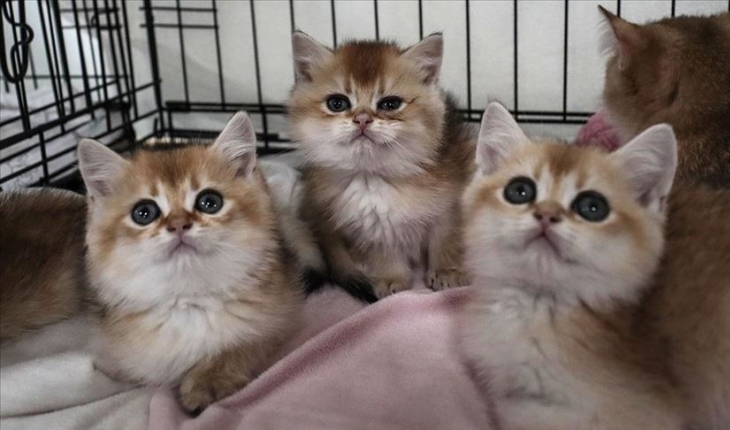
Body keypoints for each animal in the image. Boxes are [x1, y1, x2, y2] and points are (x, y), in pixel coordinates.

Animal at [78, 111, 303, 413]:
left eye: (210, 202)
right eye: (143, 212)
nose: (178, 225)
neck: (189, 300)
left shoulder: (278, 321)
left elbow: (243, 347)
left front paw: (208, 380)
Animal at [289, 31, 475, 302]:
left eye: (390, 104)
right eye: (337, 103)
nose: (362, 120)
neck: (375, 178)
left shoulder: (451, 209)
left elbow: (446, 241)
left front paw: (447, 271)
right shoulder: (367, 229)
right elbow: (384, 254)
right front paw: (391, 278)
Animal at [461, 102, 687, 430]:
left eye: (592, 208)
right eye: (519, 191)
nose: (546, 214)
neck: (539, 309)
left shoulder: (640, 413)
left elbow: (521, 412)